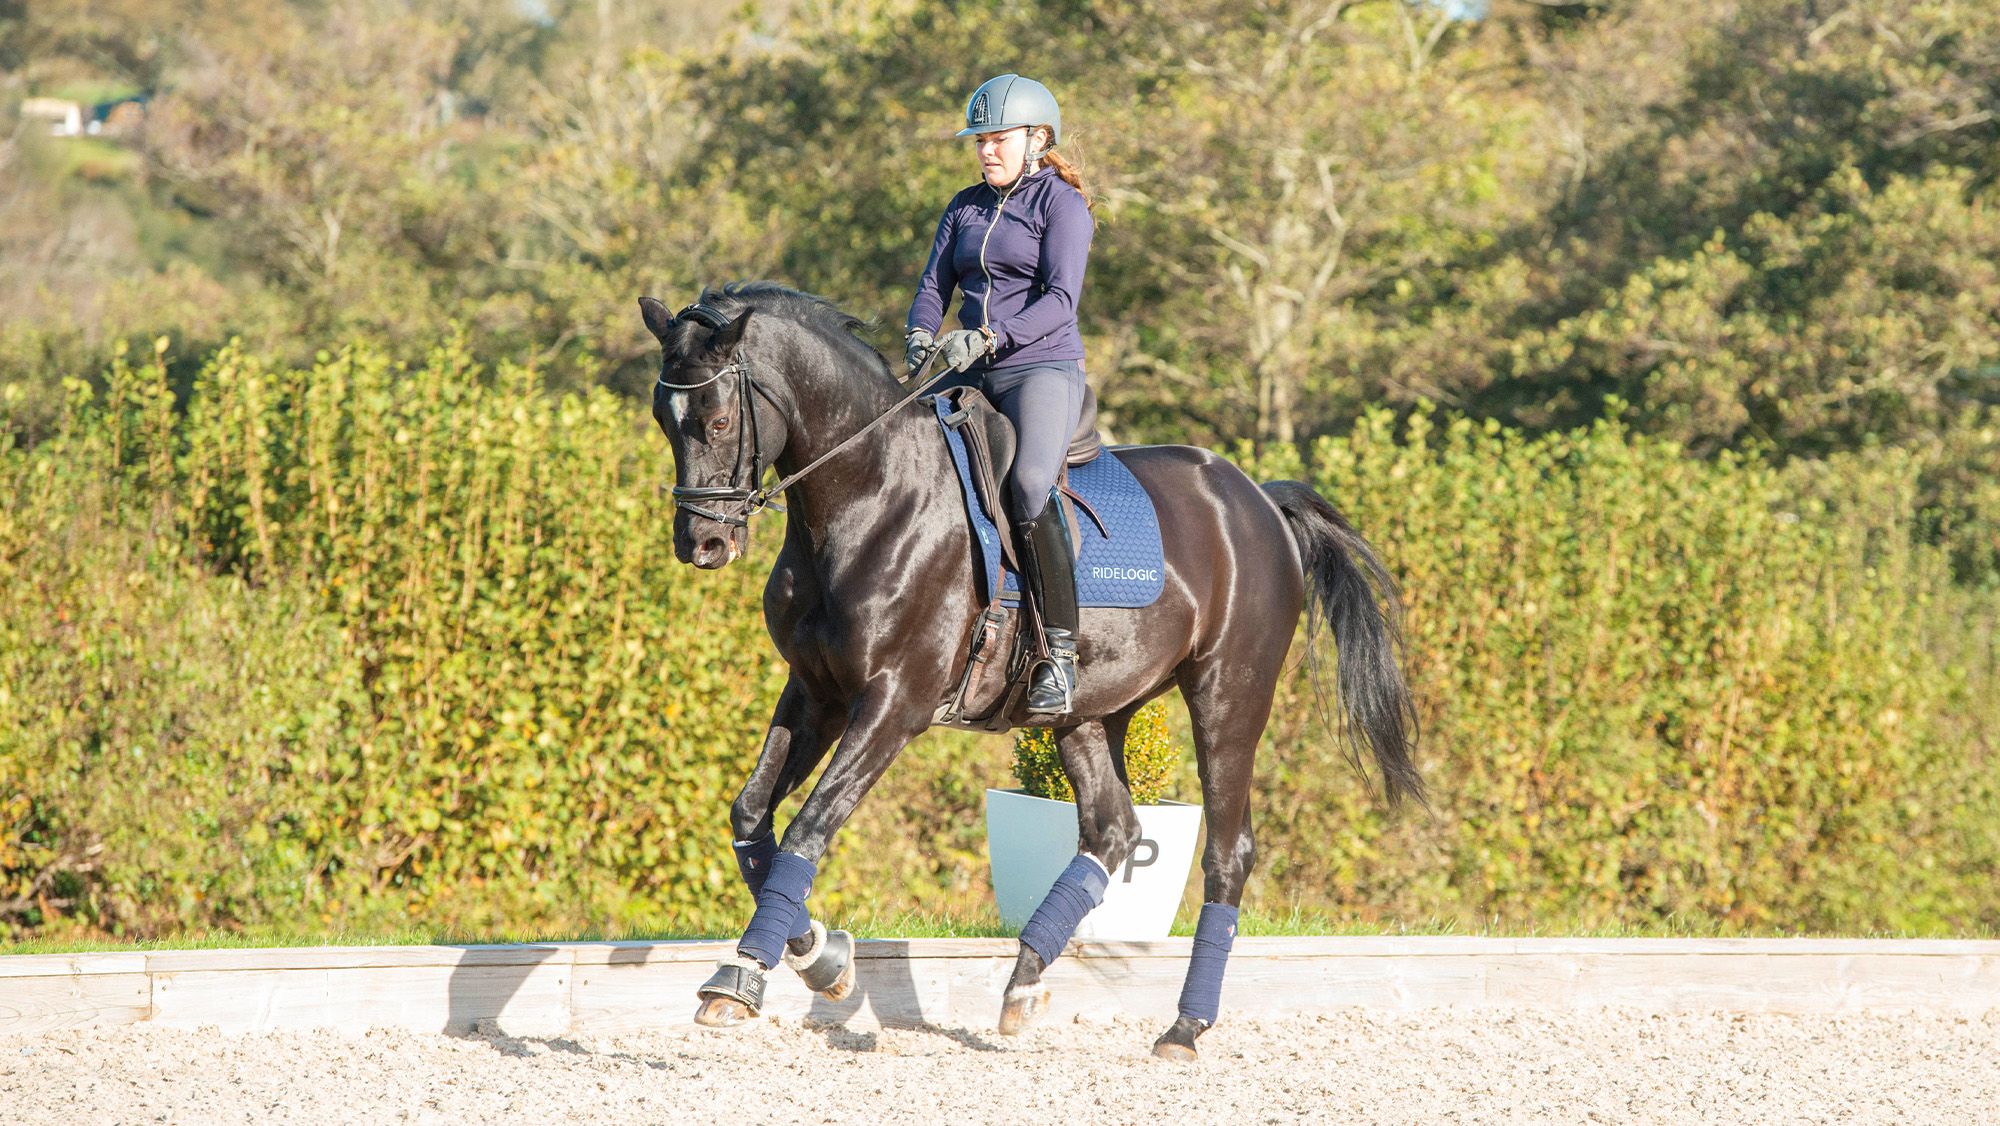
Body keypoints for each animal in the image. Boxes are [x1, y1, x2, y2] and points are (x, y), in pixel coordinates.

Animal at [640, 282, 1422, 1060]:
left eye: (716, 420)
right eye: (662, 421)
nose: (702, 543)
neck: (870, 494)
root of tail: (1258, 498)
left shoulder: (894, 703)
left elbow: (809, 826)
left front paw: (747, 975)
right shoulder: (816, 692)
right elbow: (752, 816)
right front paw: (815, 961)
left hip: (1229, 698)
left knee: (1229, 854)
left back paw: (1183, 1027)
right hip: (1090, 712)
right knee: (1112, 830)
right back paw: (1024, 982)